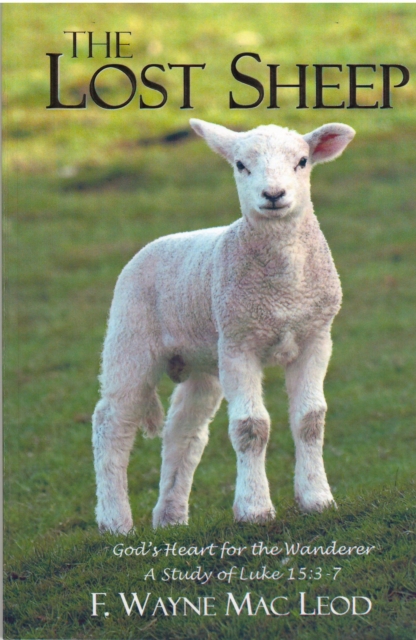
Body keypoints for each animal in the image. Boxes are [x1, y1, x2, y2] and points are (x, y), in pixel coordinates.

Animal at [92, 118, 355, 533]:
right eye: (240, 165)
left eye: (302, 161)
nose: (274, 194)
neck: (284, 290)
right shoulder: (238, 342)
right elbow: (251, 427)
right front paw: (254, 509)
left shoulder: (315, 336)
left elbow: (311, 419)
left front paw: (317, 499)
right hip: (129, 335)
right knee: (112, 423)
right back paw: (115, 521)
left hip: (202, 361)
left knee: (184, 432)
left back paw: (170, 517)